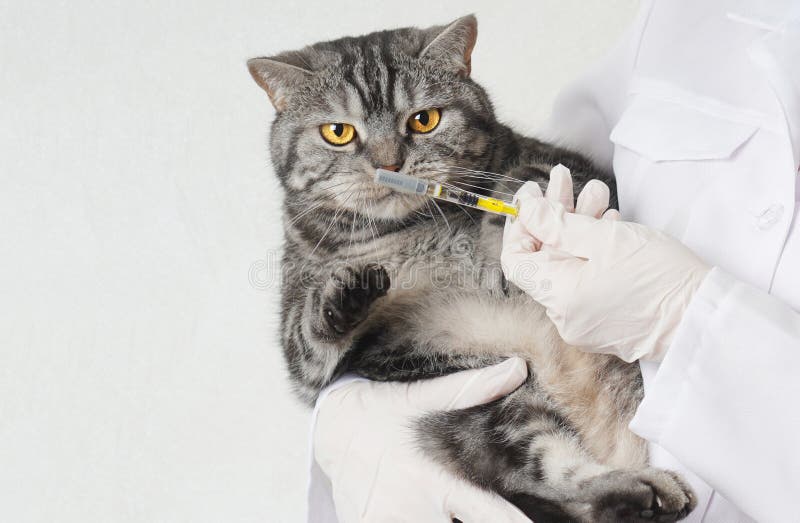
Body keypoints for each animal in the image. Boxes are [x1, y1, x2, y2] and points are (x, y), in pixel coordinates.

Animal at [247, 16, 696, 523]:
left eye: (424, 120)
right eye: (338, 132)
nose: (389, 163)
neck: (416, 226)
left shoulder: (582, 171)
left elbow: (535, 175)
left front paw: (512, 220)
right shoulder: (303, 353)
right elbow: (309, 330)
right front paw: (348, 289)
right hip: (489, 404)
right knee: (555, 477)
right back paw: (641, 492)